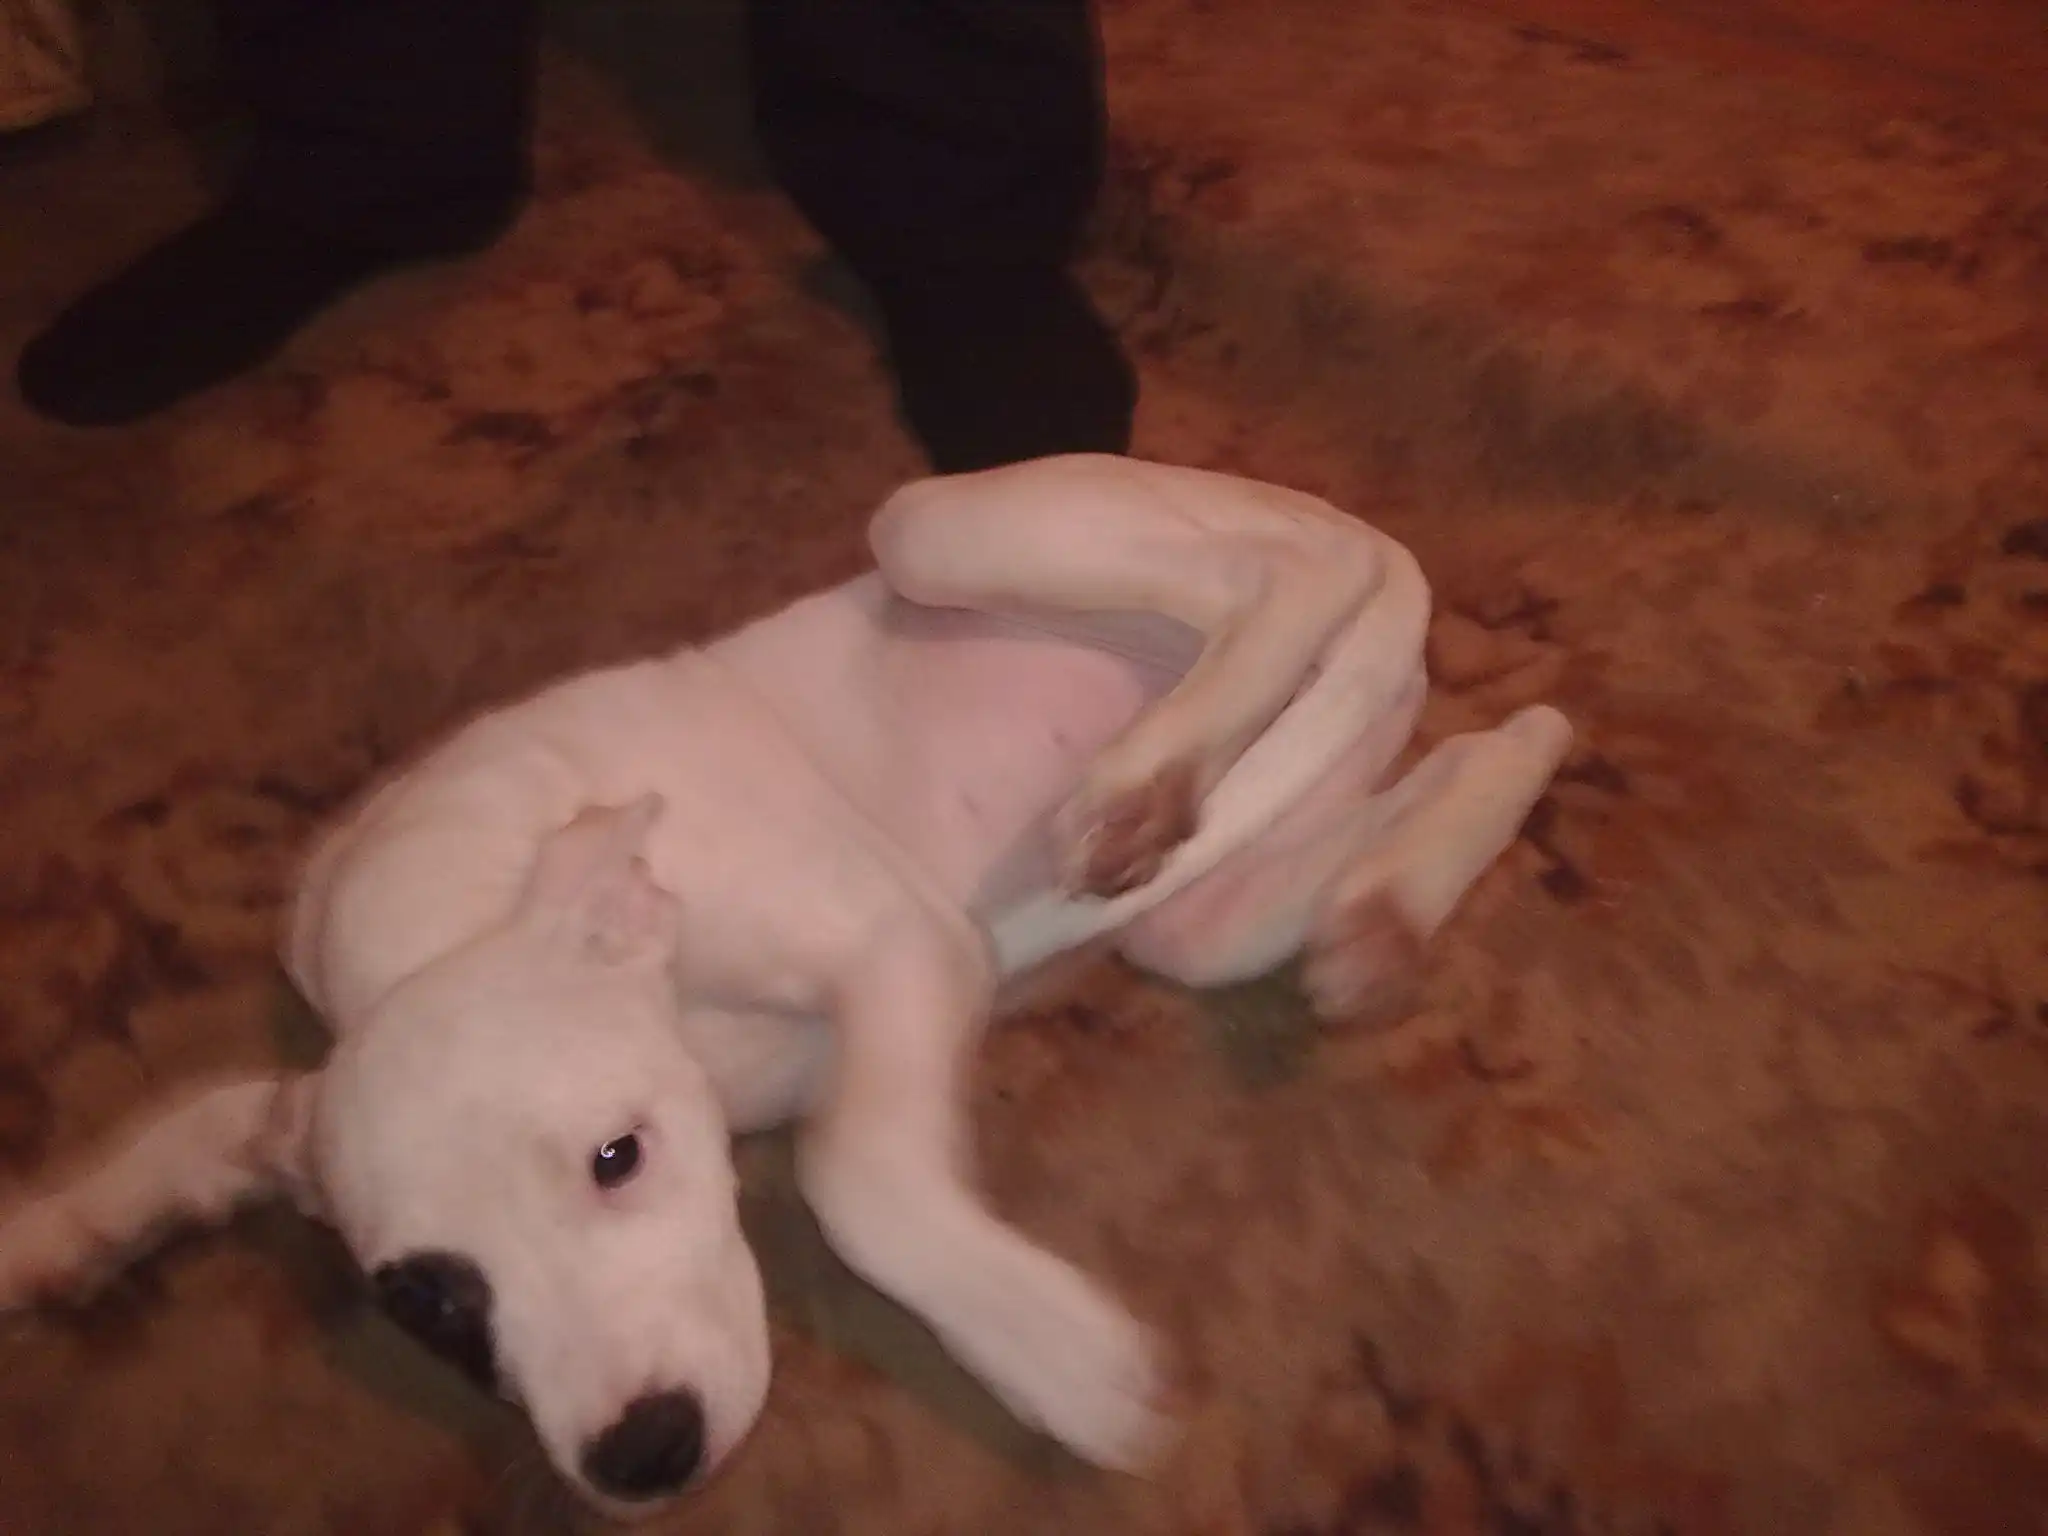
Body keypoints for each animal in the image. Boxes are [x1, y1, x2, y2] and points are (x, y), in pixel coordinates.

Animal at [0, 455, 1571, 1516]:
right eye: (427, 1301)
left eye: (619, 1158)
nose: (644, 1455)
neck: (447, 922)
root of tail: (1360, 531)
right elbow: (201, 1121)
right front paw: (57, 1228)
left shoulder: (898, 947)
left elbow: (855, 1177)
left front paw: (1059, 1357)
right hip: (1227, 896)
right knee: (1452, 765)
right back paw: (1401, 890)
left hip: (954, 527)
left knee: (1273, 580)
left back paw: (1149, 775)